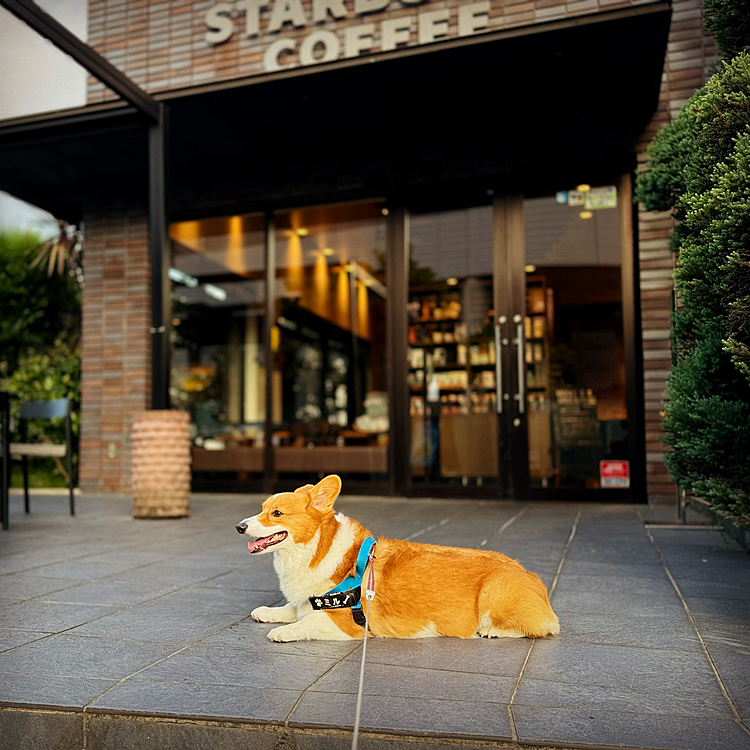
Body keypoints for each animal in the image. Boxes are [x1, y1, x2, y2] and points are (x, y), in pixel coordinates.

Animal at [235, 478, 560, 644]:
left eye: (277, 513)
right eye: (262, 508)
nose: (239, 526)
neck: (317, 548)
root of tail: (534, 577)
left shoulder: (345, 624)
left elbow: (306, 622)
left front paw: (283, 631)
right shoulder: (308, 601)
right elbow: (293, 609)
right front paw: (268, 613)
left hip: (495, 592)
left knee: (542, 627)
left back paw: (492, 630)